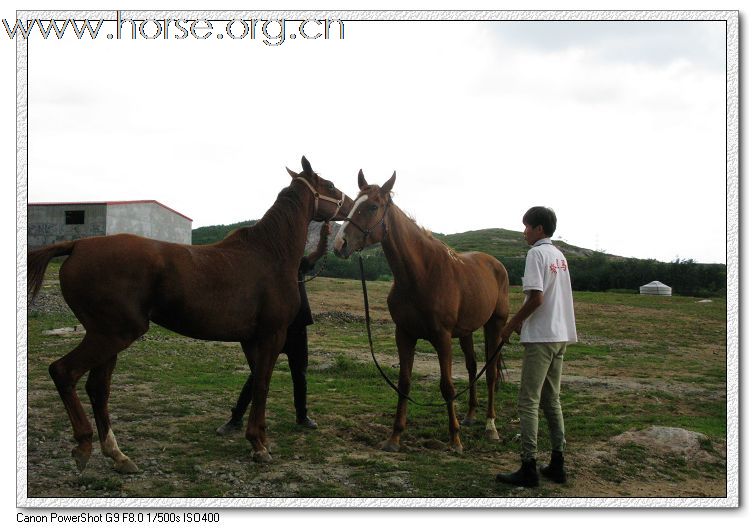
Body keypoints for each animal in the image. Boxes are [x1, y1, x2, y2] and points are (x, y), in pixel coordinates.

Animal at [25, 156, 352, 470]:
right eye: (330, 184)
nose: (350, 205)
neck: (270, 254)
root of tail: (77, 244)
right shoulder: (272, 335)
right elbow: (262, 385)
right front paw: (259, 445)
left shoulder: (252, 340)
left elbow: (257, 381)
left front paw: (254, 438)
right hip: (113, 334)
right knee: (64, 372)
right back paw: (84, 445)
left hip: (108, 337)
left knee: (97, 388)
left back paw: (117, 455)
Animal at [334, 171, 510, 452]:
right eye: (353, 204)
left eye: (372, 206)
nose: (340, 244)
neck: (422, 275)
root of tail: (496, 264)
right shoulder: (404, 335)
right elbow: (404, 383)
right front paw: (394, 437)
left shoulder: (442, 337)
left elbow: (447, 386)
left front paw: (455, 439)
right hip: (466, 331)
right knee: (472, 367)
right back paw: (471, 415)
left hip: (495, 324)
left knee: (491, 374)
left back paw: (490, 427)